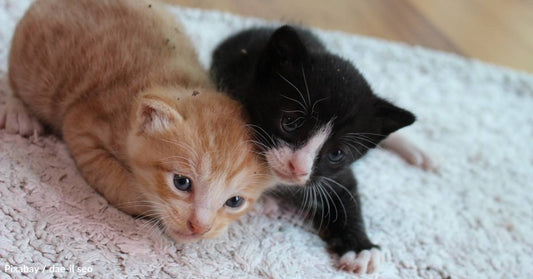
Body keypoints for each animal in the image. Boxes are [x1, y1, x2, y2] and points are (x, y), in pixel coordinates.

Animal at [1, 0, 270, 243]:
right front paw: (145, 203)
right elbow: (116, 182)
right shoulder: (81, 124)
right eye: (181, 183)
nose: (200, 227)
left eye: (234, 201)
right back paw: (17, 113)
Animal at [210, 25, 418, 274]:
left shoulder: (334, 175)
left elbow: (349, 196)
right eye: (290, 122)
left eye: (336, 153)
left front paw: (361, 249)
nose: (298, 167)